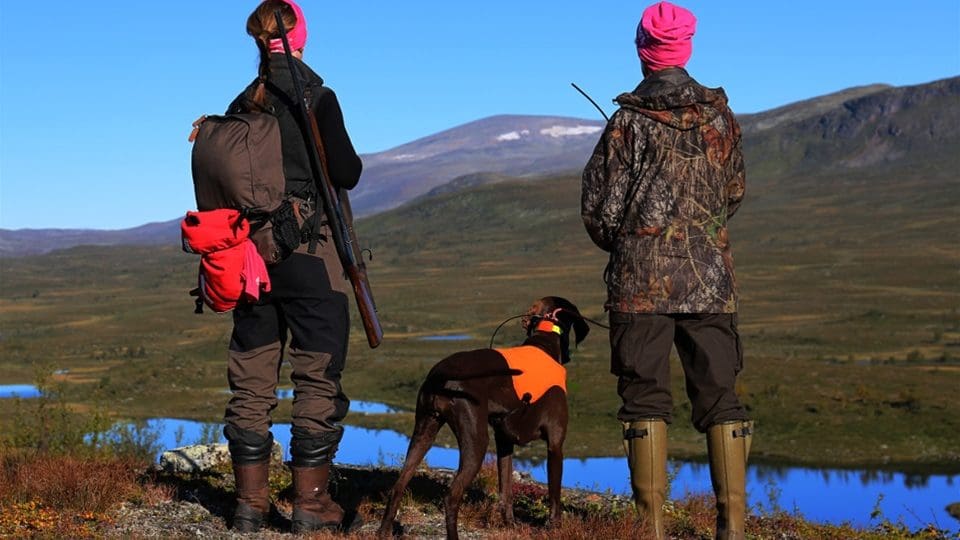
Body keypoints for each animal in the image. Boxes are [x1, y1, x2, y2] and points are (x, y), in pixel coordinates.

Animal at [376, 298, 588, 536]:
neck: (545, 340)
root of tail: (441, 375)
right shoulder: (555, 445)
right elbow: (554, 497)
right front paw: (555, 528)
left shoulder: (504, 442)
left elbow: (506, 490)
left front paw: (510, 524)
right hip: (476, 441)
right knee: (451, 496)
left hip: (424, 432)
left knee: (398, 485)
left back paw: (383, 532)